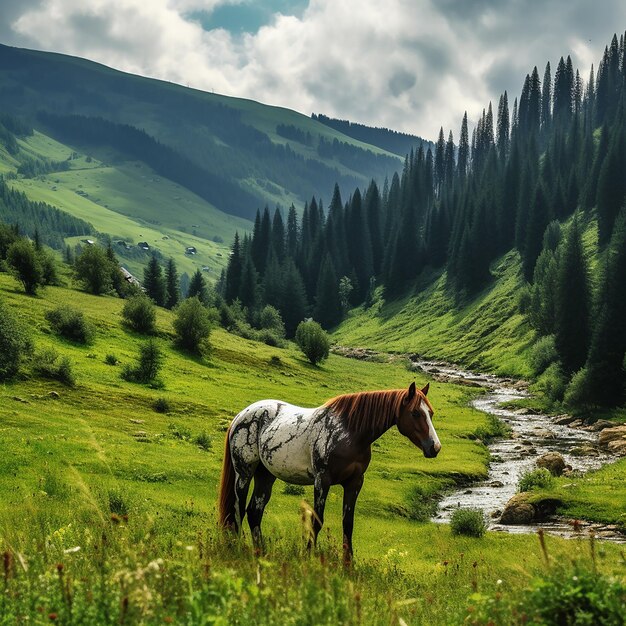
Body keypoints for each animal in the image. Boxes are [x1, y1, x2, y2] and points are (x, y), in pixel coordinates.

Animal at [218, 380, 438, 560]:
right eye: (415, 413)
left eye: (431, 413)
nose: (434, 447)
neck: (350, 433)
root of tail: (241, 415)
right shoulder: (322, 481)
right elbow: (317, 522)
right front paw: (309, 558)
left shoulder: (354, 483)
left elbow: (348, 524)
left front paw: (348, 566)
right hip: (244, 473)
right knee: (238, 510)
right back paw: (237, 548)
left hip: (266, 476)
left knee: (254, 512)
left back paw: (260, 553)